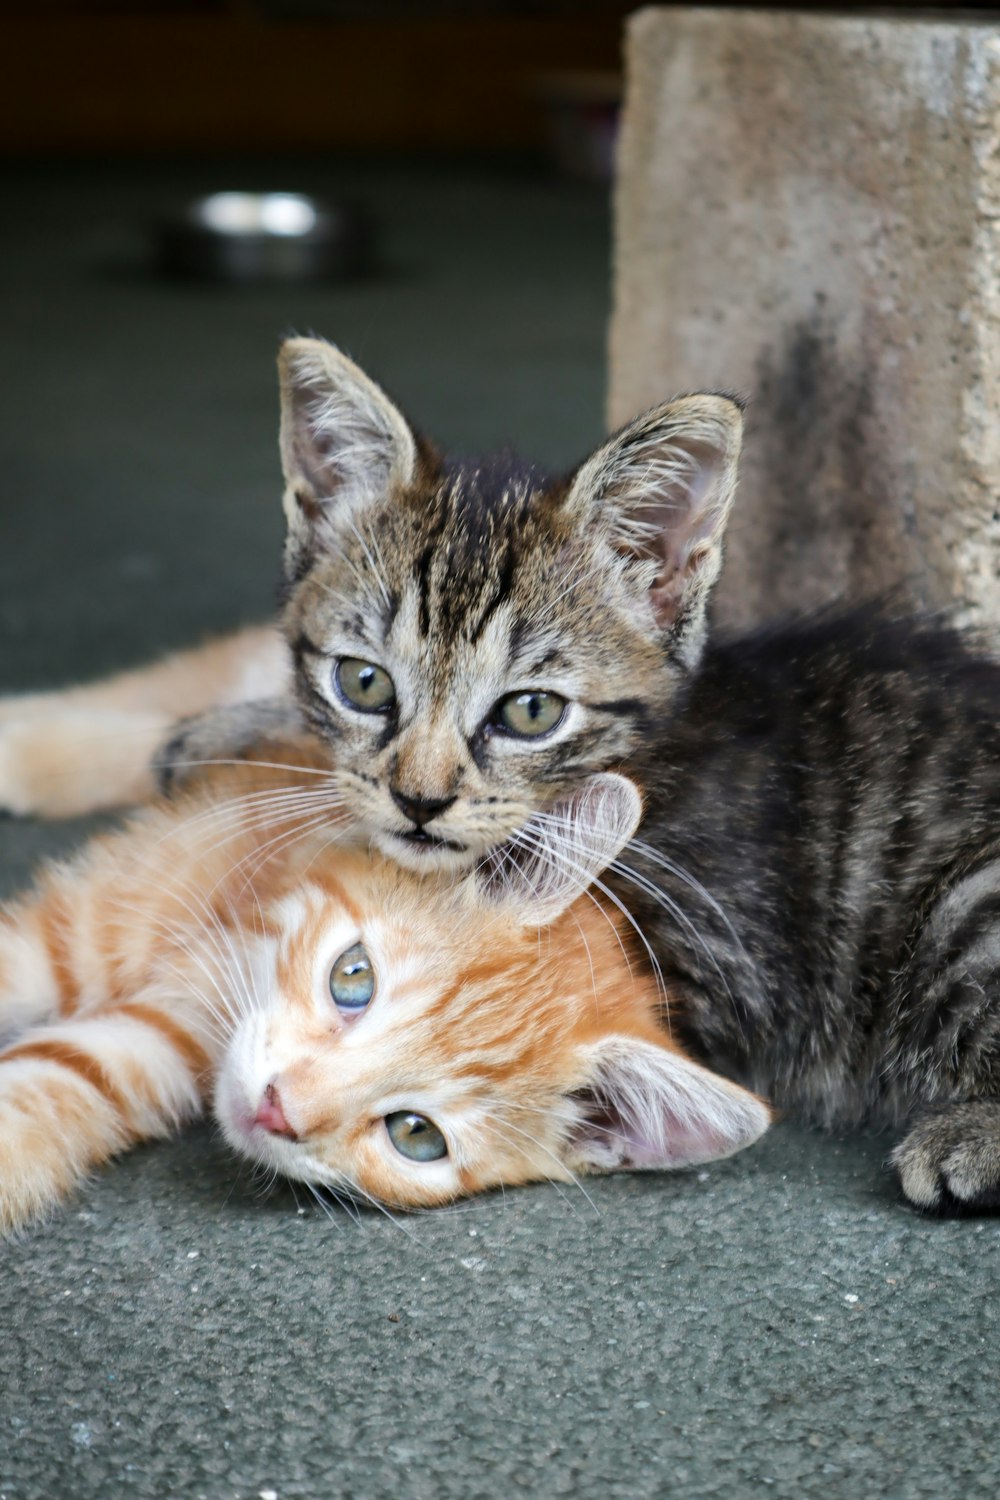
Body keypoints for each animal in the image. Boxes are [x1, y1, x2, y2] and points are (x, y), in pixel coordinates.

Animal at [0, 744, 773, 1236]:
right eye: (354, 978)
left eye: (415, 1135)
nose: (277, 1109)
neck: (243, 932)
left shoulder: (151, 1049)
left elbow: (47, 1088)